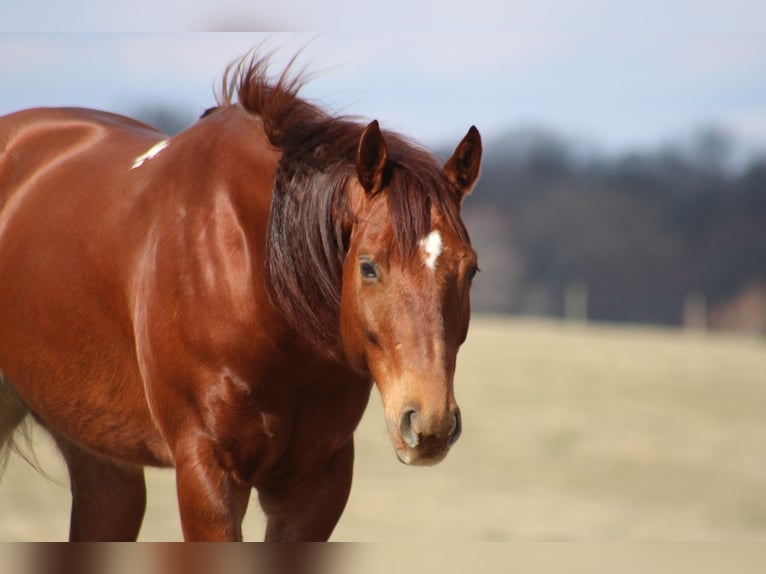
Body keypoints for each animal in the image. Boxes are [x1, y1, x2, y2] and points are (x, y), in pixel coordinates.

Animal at [0, 54, 482, 541]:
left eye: (471, 271)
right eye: (368, 266)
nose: (430, 424)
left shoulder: (316, 482)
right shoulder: (207, 471)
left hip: (98, 453)